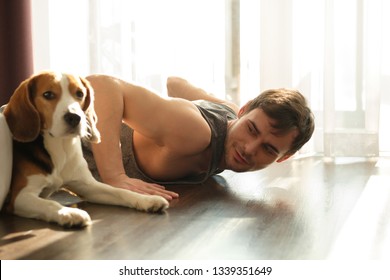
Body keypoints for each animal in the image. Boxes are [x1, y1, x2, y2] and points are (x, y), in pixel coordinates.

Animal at [2, 70, 168, 228]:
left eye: (80, 94)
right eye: (48, 94)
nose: (75, 117)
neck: (61, 147)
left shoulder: (89, 187)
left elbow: (120, 191)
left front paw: (147, 199)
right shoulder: (21, 196)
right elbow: (49, 203)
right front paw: (69, 213)